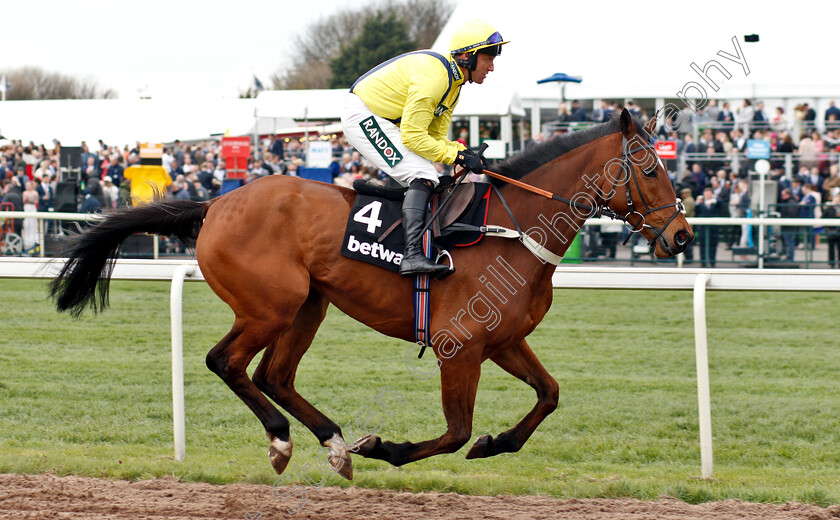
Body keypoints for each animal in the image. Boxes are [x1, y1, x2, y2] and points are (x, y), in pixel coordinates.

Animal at [50, 108, 688, 480]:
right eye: (650, 169)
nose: (681, 236)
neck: (512, 228)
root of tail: (216, 203)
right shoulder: (461, 347)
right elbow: (455, 432)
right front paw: (385, 448)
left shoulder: (503, 341)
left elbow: (549, 395)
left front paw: (497, 443)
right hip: (270, 305)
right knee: (225, 361)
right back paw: (283, 441)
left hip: (309, 305)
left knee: (274, 375)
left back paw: (331, 442)